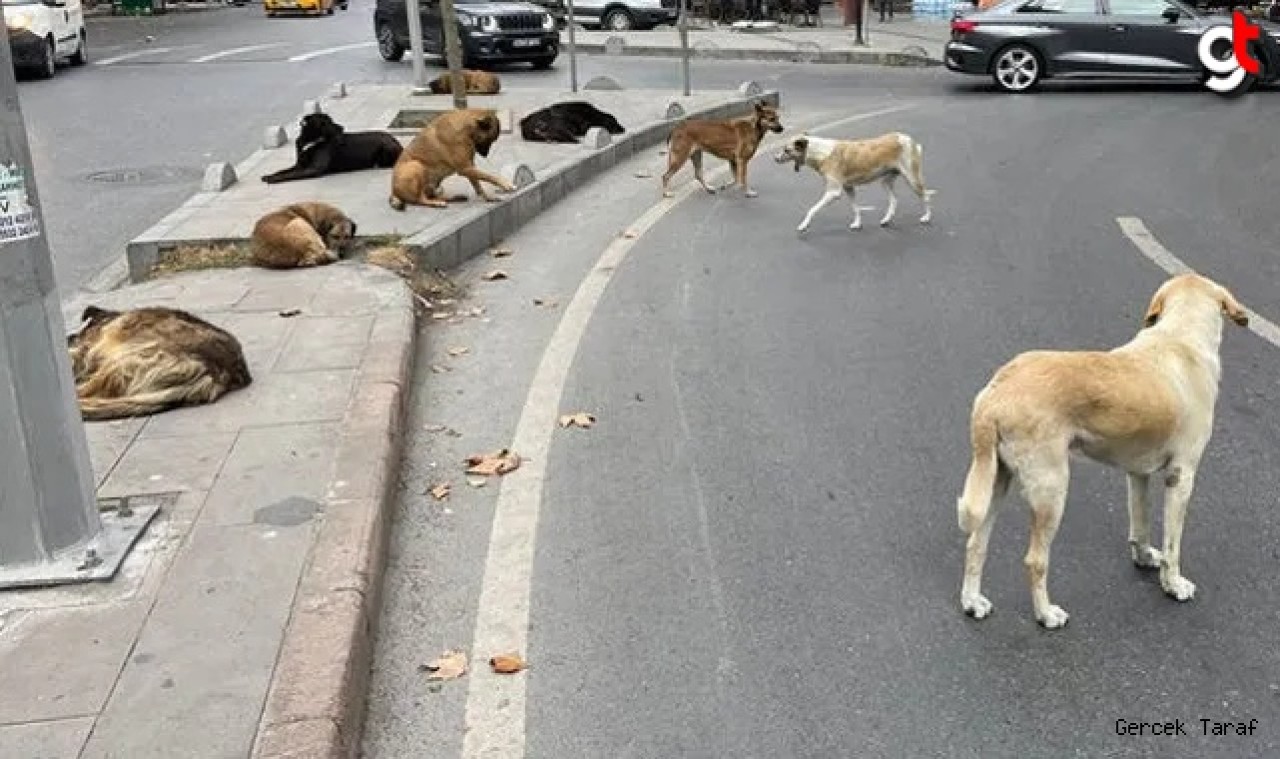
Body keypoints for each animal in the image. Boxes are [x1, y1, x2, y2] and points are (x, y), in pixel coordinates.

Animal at [258, 111, 399, 184]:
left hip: (386, 147)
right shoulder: (299, 165)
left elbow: (290, 175)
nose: (342, 127)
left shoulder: (313, 169)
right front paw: (269, 175)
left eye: (330, 120)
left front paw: (273, 179)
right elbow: (283, 171)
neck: (312, 141)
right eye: (326, 122)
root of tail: (396, 141)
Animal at [773, 131, 936, 234]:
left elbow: (812, 209)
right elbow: (855, 208)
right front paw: (857, 224)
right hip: (885, 181)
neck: (819, 152)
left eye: (787, 150)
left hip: (912, 179)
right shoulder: (848, 188)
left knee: (926, 196)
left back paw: (927, 217)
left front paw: (804, 225)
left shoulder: (833, 192)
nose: (774, 158)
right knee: (894, 200)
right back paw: (886, 220)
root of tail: (907, 138)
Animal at [962, 271, 1249, 627]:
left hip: (995, 481)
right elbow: (1173, 546)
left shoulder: (1137, 474)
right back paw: (1046, 614)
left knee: (975, 544)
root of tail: (995, 394)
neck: (1180, 337)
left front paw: (1144, 558)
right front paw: (1173, 585)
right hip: (1051, 490)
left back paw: (972, 602)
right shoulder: (1181, 477)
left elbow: (1140, 524)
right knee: (1035, 560)